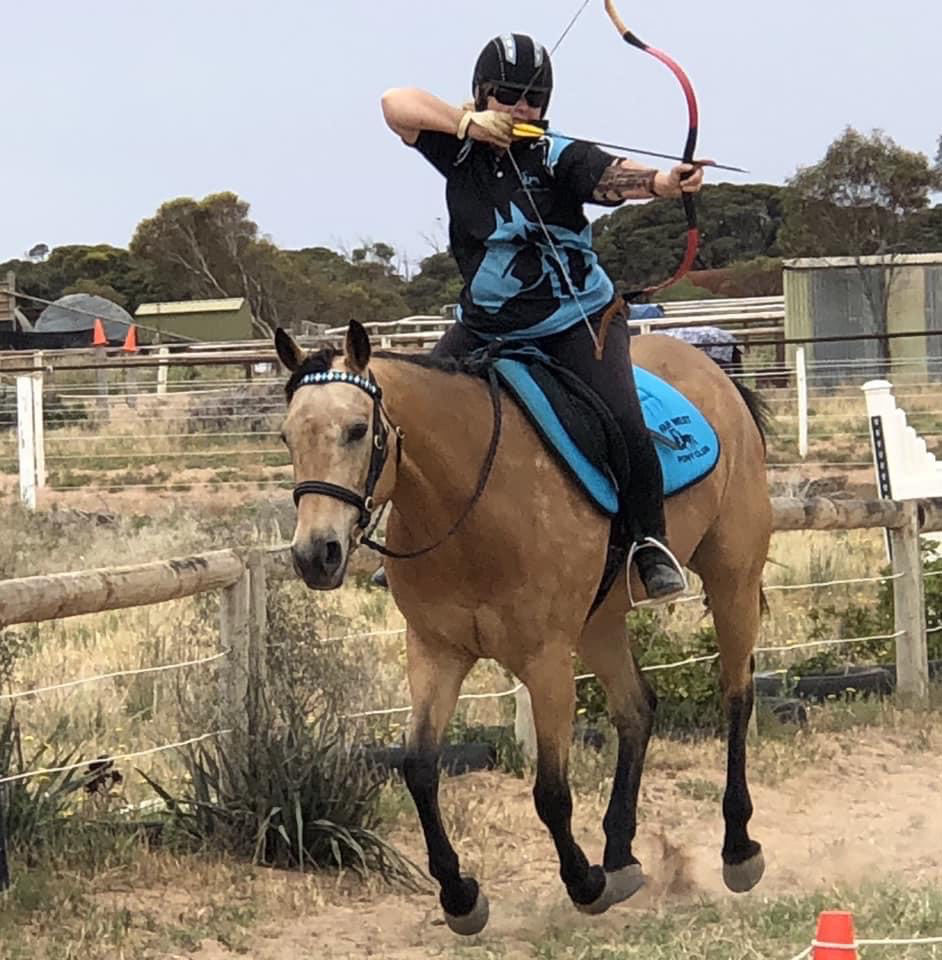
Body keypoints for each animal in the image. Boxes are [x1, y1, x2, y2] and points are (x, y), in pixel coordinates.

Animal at [275, 319, 771, 935]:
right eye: (287, 437)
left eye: (357, 429)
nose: (315, 554)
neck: (467, 504)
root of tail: (713, 372)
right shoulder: (436, 651)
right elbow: (419, 768)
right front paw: (460, 896)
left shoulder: (546, 659)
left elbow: (551, 790)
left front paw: (583, 883)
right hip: (600, 622)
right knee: (636, 708)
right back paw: (621, 858)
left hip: (732, 579)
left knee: (736, 695)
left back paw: (737, 848)